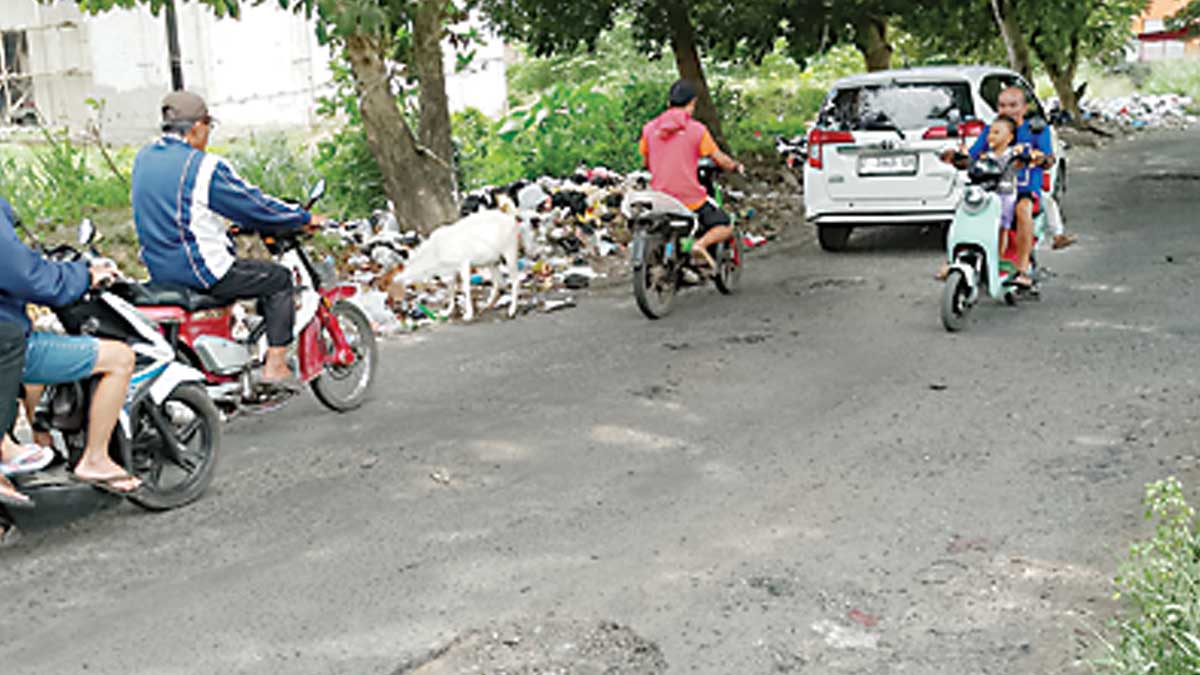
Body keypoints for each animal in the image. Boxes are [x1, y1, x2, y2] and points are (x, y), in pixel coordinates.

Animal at [388, 201, 540, 319]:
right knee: (500, 282)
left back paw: (511, 310)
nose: (400, 308)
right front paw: (447, 312)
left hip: (509, 251)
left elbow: (465, 287)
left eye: (397, 288)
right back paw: (488, 304)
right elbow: (451, 289)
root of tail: (513, 221)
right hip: (492, 261)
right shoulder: (450, 271)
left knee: (515, 279)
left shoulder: (463, 263)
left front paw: (468, 314)